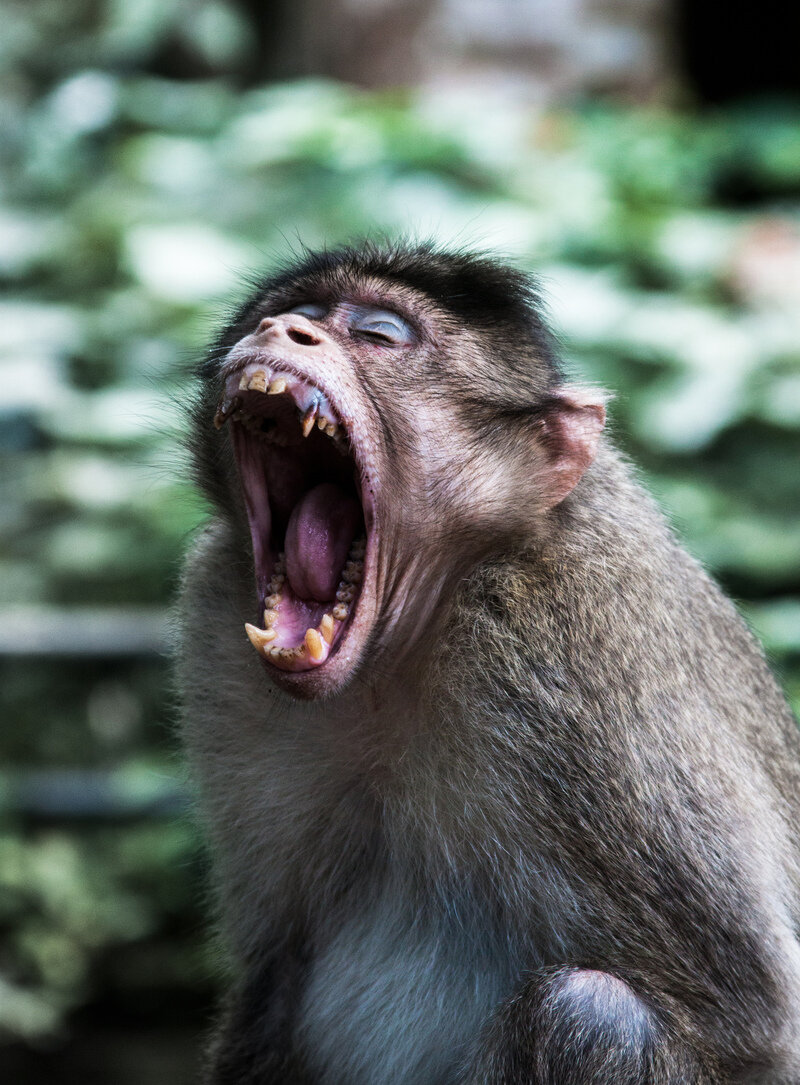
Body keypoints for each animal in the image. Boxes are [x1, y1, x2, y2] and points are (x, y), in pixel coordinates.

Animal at [177, 241, 800, 1084]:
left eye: (379, 334)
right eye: (296, 312)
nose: (284, 331)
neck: (396, 656)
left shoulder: (554, 640)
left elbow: (750, 1022)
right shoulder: (214, 614)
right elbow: (271, 986)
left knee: (591, 1012)